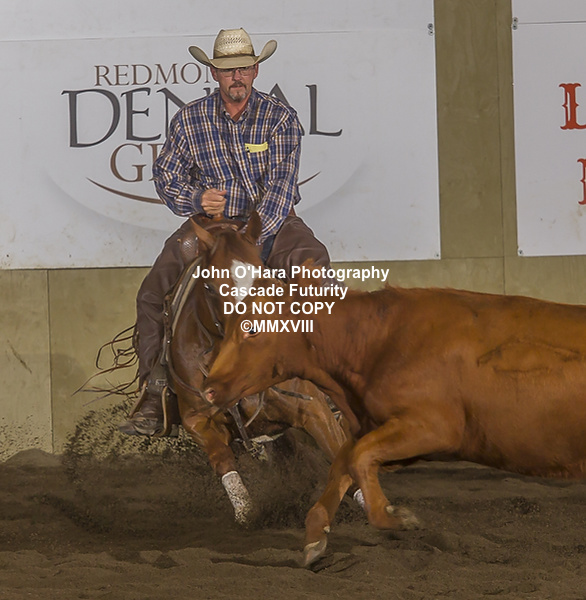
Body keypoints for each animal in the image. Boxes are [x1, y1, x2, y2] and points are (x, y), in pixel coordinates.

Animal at [202, 272, 586, 565]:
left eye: (251, 329)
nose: (208, 387)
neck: (381, 342)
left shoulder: (433, 428)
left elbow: (358, 458)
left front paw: (396, 517)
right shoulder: (382, 430)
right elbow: (344, 462)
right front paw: (314, 538)